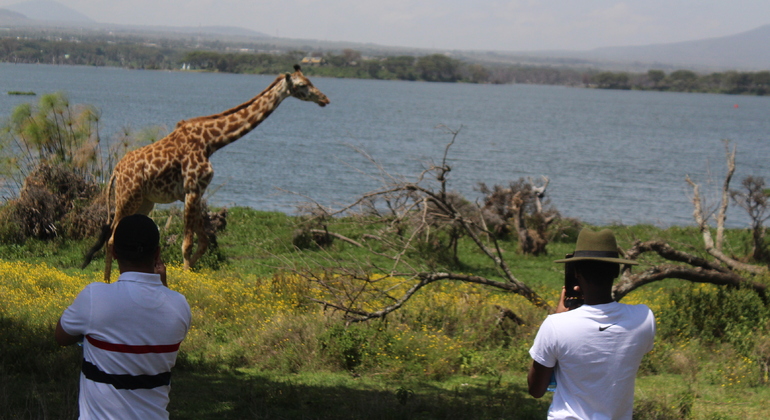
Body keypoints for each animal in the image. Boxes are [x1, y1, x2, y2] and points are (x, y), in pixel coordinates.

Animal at [82, 65, 328, 282]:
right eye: (303, 84)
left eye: (310, 80)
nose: (325, 99)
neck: (212, 142)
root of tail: (115, 171)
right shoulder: (191, 189)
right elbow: (187, 244)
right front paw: (185, 280)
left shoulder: (196, 192)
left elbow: (203, 242)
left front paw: (189, 275)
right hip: (128, 197)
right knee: (111, 239)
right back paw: (107, 282)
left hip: (145, 202)